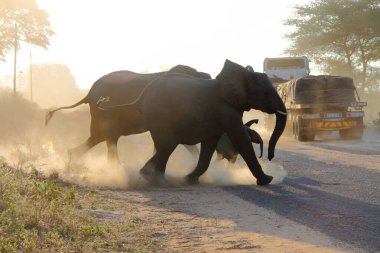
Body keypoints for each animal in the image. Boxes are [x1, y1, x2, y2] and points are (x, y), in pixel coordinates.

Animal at [101, 59, 288, 186]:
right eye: (265, 93)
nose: (269, 157)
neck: (241, 73)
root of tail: (141, 97)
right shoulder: (226, 110)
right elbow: (241, 140)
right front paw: (267, 180)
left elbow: (210, 145)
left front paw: (190, 180)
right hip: (162, 117)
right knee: (167, 146)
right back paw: (157, 180)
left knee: (165, 145)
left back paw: (147, 175)